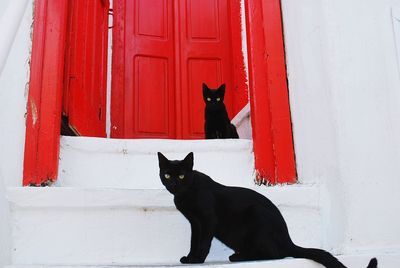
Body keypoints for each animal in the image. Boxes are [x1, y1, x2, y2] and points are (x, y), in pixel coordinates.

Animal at [157, 152, 378, 268]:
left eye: (182, 175)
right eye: (167, 175)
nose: (174, 184)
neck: (185, 194)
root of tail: (289, 240)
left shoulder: (207, 220)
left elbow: (203, 243)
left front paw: (197, 260)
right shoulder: (195, 223)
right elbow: (194, 241)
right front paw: (190, 257)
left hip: (256, 217)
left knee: (275, 254)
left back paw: (239, 257)